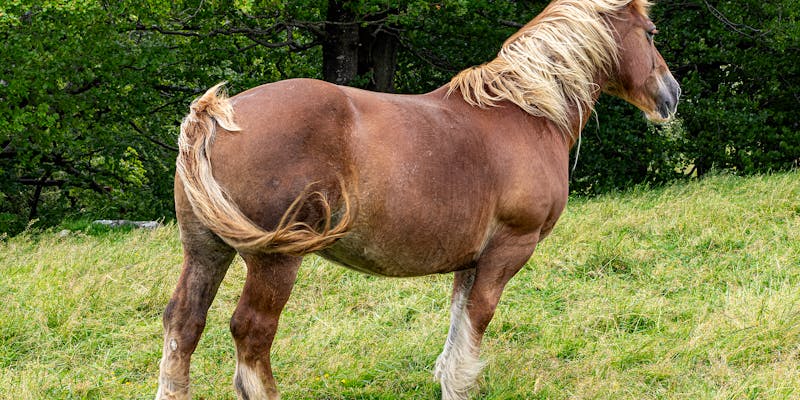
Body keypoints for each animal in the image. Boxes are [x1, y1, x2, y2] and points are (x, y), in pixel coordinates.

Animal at [155, 0, 680, 398]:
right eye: (651, 33)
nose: (672, 94)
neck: (526, 112)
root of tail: (215, 115)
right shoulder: (508, 251)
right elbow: (477, 322)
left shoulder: (471, 260)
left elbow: (457, 324)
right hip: (274, 261)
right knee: (251, 332)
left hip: (205, 251)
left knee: (184, 325)